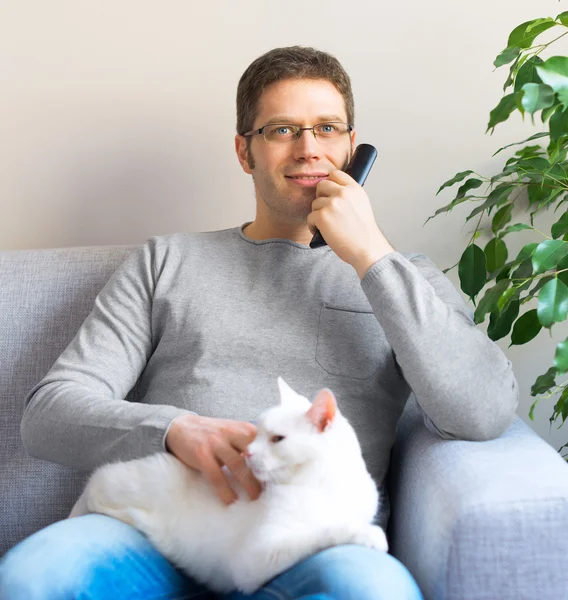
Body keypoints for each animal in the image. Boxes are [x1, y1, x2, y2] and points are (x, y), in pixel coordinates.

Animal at [67, 378, 386, 592]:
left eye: (277, 439)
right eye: (256, 433)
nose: (247, 453)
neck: (322, 484)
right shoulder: (256, 556)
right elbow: (320, 533)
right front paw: (367, 534)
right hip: (134, 481)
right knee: (96, 487)